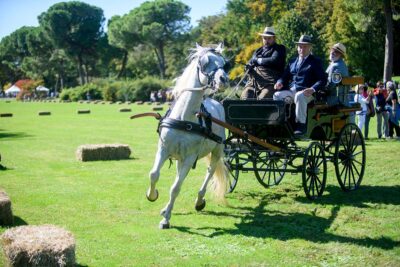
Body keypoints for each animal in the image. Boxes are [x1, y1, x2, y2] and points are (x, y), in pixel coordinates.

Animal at [146, 43, 228, 229]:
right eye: (204, 63)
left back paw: (199, 201)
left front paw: (166, 220)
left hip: (216, 151)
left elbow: (176, 187)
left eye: (224, 63)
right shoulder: (163, 149)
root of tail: (215, 102)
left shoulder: (190, 157)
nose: (223, 79)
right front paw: (152, 195)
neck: (184, 118)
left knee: (210, 172)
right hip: (180, 157)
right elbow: (154, 174)